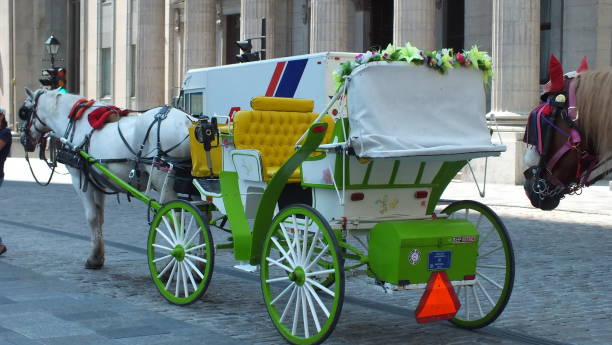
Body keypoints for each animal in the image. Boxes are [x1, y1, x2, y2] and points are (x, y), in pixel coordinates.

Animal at [20, 87, 194, 268]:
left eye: (24, 112)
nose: (23, 139)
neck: (77, 126)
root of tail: (188, 121)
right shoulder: (97, 182)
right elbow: (99, 217)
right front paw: (98, 255)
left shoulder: (80, 179)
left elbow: (91, 217)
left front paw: (93, 258)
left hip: (163, 181)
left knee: (175, 217)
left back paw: (174, 260)